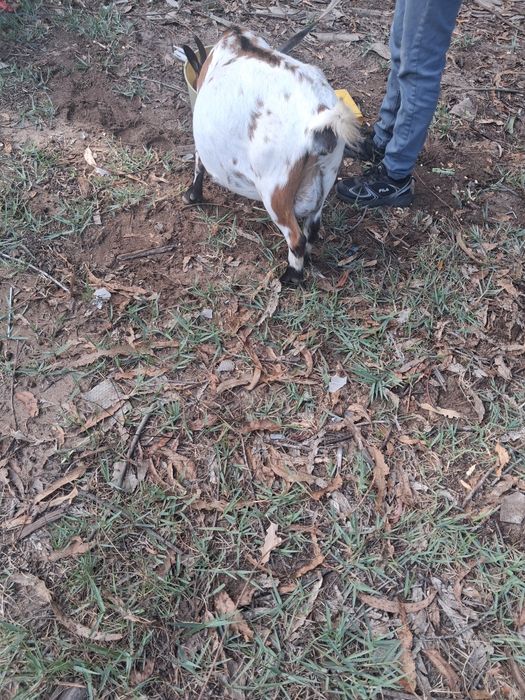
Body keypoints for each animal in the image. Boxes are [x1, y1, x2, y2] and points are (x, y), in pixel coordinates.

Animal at [183, 26, 360, 284]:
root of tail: (318, 122)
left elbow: (199, 164)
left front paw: (192, 196)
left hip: (275, 187)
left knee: (296, 237)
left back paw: (290, 277)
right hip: (327, 173)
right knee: (312, 227)